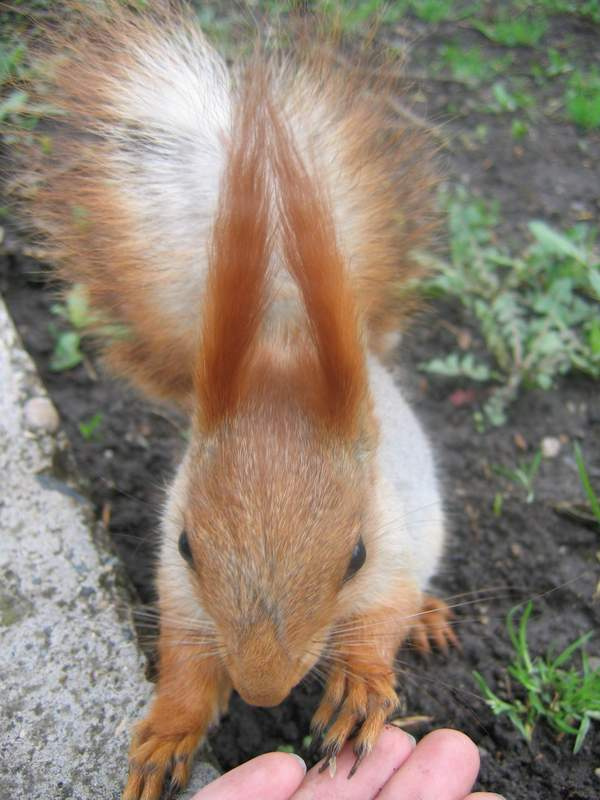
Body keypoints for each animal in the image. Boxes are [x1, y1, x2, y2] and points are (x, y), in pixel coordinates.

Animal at [20, 3, 459, 798]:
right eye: (187, 544)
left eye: (356, 554)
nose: (261, 691)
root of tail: (282, 338)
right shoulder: (179, 584)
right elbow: (188, 657)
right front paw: (170, 731)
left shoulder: (397, 549)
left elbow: (380, 617)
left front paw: (359, 688)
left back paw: (430, 616)